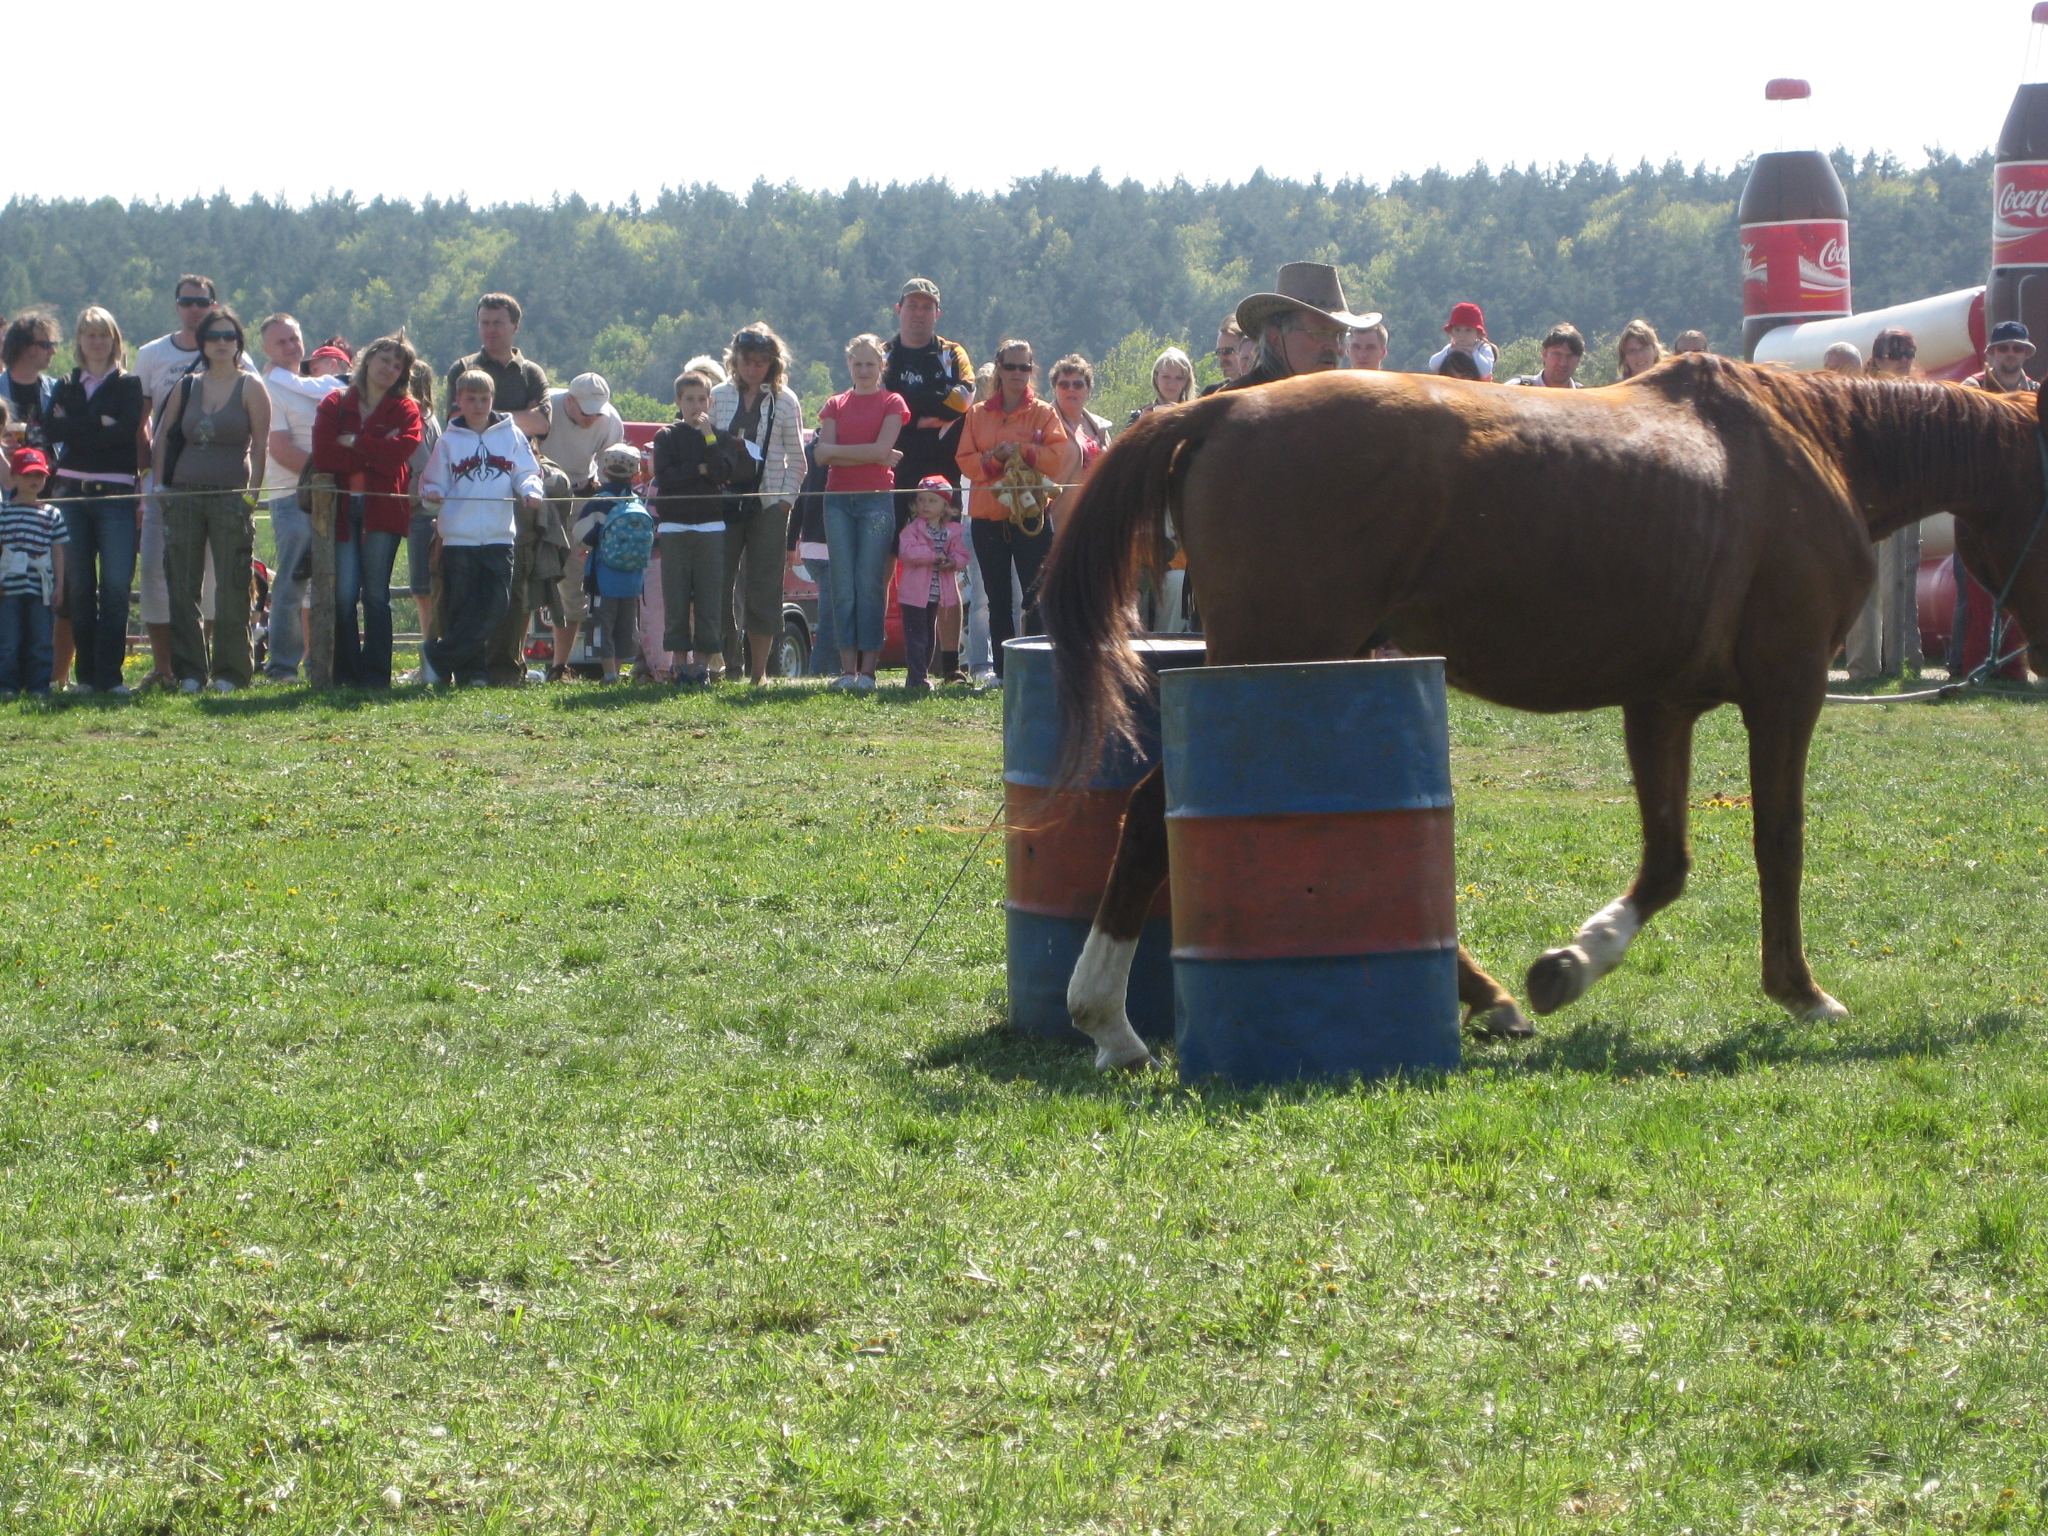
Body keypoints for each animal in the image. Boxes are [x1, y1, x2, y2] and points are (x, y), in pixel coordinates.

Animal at [1040, 352, 2048, 1073]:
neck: (1813, 447)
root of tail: (1216, 411)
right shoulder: (1787, 688)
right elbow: (1780, 841)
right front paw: (1800, 991)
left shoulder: (1662, 702)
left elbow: (1668, 861)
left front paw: (1574, 961)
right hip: (1276, 653)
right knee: (1148, 815)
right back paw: (1106, 1018)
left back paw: (1490, 996)